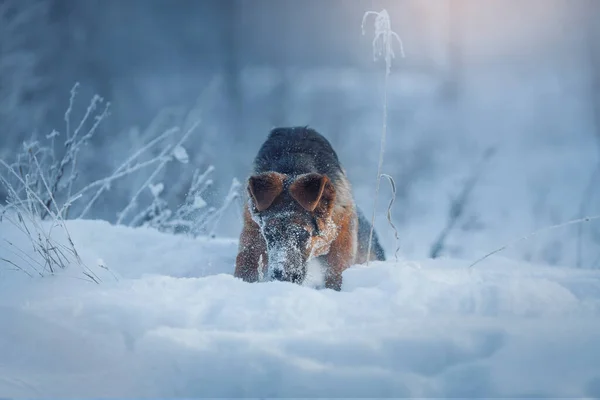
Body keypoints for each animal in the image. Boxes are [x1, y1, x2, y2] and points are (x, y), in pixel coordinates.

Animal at [234, 127, 384, 290]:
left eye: (303, 234)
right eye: (268, 233)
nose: (282, 278)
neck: (293, 165)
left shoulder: (341, 234)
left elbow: (337, 271)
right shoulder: (252, 232)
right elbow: (247, 262)